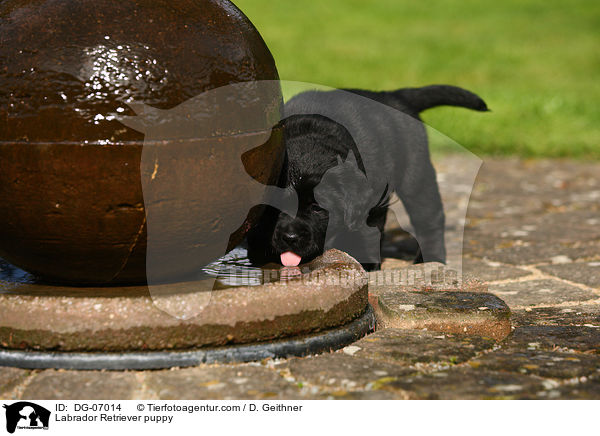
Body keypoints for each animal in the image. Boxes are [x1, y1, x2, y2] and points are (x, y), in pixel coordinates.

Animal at [247, 84, 488, 270]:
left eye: (317, 208)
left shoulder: (369, 200)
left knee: (429, 219)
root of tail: (392, 96)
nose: (290, 238)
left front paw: (367, 263)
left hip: (416, 174)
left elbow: (367, 230)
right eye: (273, 208)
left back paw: (430, 260)